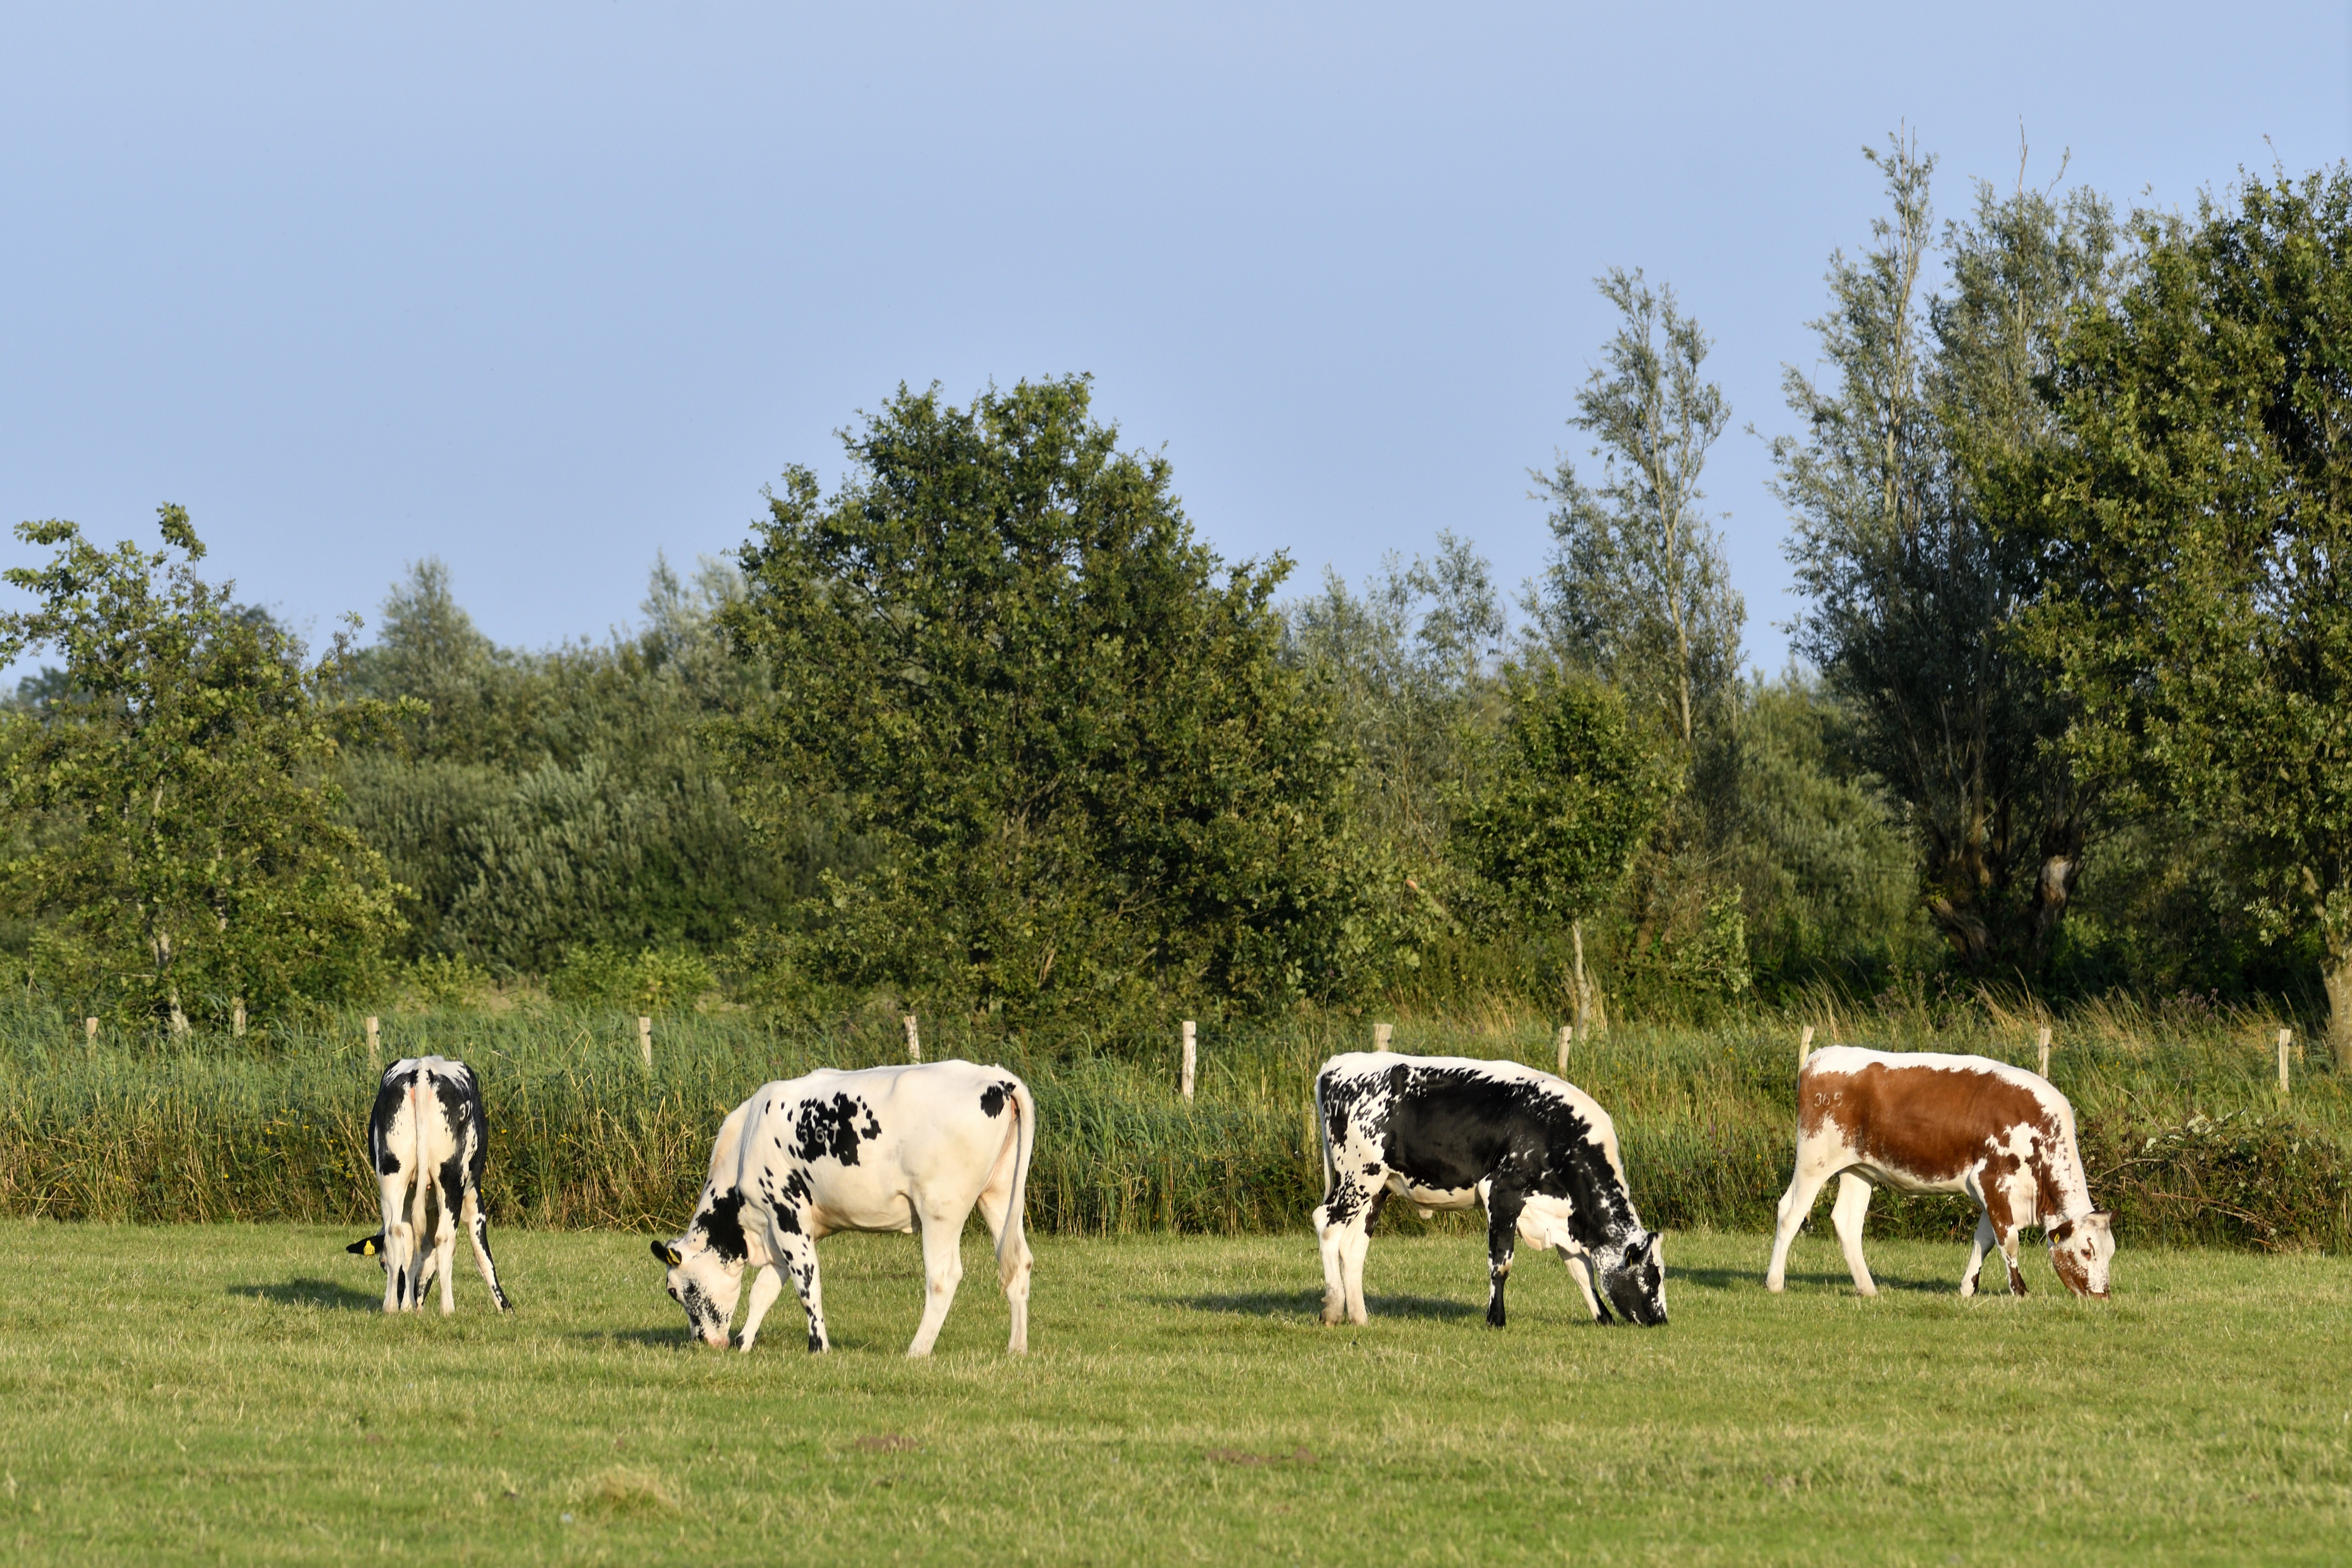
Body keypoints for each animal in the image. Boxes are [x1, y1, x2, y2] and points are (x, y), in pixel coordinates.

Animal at [350, 1062, 512, 1316]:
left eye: (382, 1264)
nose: (401, 1298)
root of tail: (422, 1069)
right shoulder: (474, 1199)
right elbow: (482, 1256)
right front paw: (505, 1306)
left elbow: (414, 1252)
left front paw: (409, 1306)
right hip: (451, 1180)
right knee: (445, 1239)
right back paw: (447, 1308)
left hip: (391, 1175)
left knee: (395, 1234)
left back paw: (391, 1307)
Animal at [653, 1062, 1040, 1354]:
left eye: (675, 1290)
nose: (703, 1341)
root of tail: (996, 1078)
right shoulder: (778, 1230)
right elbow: (764, 1291)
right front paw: (744, 1343)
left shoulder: (787, 1213)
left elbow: (807, 1283)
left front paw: (819, 1347)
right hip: (999, 1195)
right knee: (1019, 1263)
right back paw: (1017, 1349)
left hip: (941, 1208)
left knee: (944, 1276)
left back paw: (917, 1350)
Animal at [1307, 1053, 1674, 1335]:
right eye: (1653, 1275)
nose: (1661, 1320)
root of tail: (1339, 1063)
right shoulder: (1502, 1193)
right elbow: (1501, 1263)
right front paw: (1496, 1319)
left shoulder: (1561, 1217)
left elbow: (1581, 1270)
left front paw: (1603, 1318)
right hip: (1357, 1175)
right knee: (1326, 1223)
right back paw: (1333, 1309)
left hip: (1376, 1188)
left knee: (1354, 1246)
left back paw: (1360, 1317)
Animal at [1759, 1053, 2126, 1298]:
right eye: (2086, 1252)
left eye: (2111, 1251)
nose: (2102, 1297)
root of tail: (1821, 1057)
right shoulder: (1992, 1180)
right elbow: (2008, 1240)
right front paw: (2020, 1291)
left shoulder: (1994, 1192)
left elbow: (1984, 1239)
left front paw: (1968, 1289)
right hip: (1815, 1160)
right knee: (1790, 1213)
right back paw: (1775, 1283)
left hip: (1858, 1169)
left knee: (1847, 1222)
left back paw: (1868, 1289)